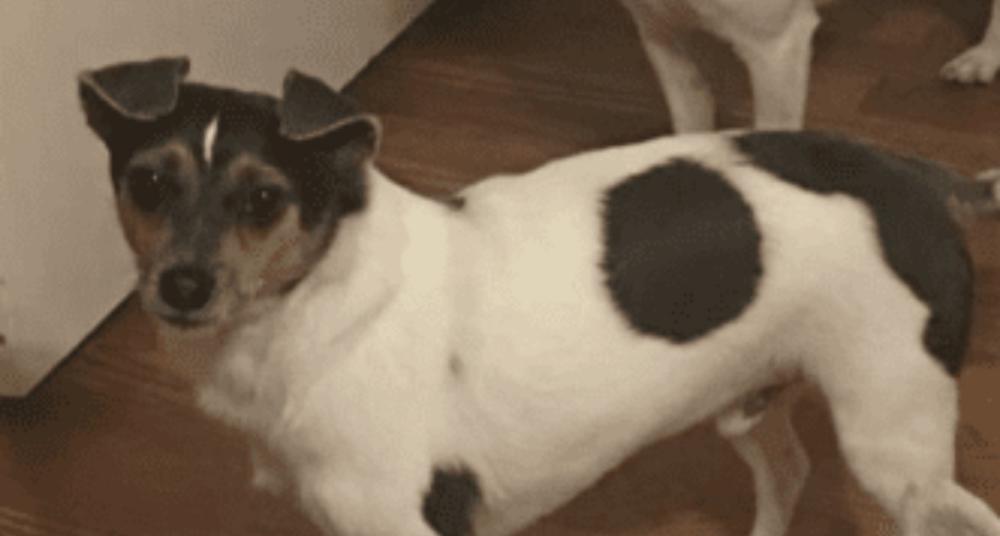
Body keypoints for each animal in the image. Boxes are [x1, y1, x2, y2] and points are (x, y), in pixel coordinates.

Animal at [79, 57, 1000, 536]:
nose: (183, 285)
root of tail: (910, 174)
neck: (311, 309)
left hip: (894, 450)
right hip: (749, 405)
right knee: (789, 470)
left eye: (265, 200)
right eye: (147, 183)